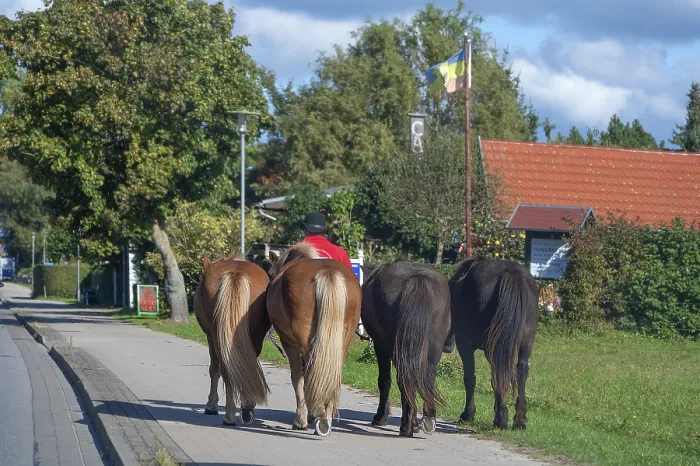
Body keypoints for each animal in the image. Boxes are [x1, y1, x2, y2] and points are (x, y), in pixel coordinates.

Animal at [193, 253, 271, 426]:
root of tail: (236, 274)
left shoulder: (210, 338)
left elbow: (214, 370)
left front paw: (211, 405)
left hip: (217, 339)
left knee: (227, 370)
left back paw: (229, 415)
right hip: (255, 337)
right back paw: (247, 409)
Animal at [267, 242, 362, 437]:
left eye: (271, 274)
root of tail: (326, 272)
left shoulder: (289, 342)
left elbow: (298, 377)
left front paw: (301, 419)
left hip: (305, 342)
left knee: (310, 373)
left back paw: (317, 417)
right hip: (342, 343)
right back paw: (326, 416)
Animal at [360, 256, 452, 437]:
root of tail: (417, 278)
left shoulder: (380, 346)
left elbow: (384, 380)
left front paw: (380, 417)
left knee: (405, 380)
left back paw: (407, 426)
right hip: (431, 349)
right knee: (425, 378)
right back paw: (426, 420)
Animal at [446, 255, 538, 430]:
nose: (447, 346)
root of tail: (511, 273)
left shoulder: (464, 344)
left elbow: (470, 377)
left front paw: (468, 414)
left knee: (498, 372)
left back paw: (500, 419)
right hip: (525, 341)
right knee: (520, 370)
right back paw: (519, 419)